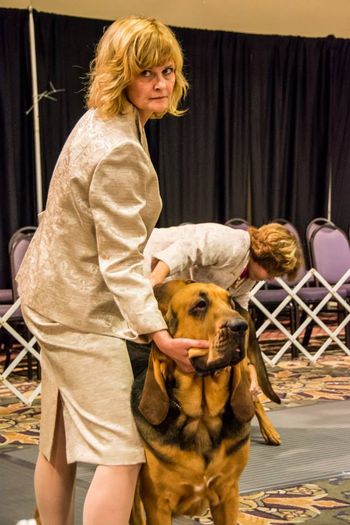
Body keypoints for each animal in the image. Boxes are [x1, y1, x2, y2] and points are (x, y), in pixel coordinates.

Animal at [130, 280, 280, 524]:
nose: (239, 326)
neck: (202, 417)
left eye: (229, 303)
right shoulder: (157, 503)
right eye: (200, 305)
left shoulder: (228, 494)